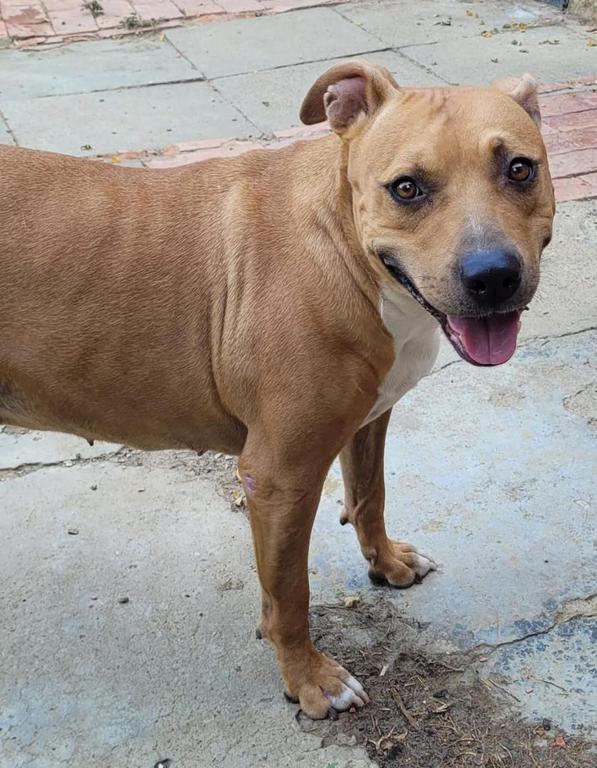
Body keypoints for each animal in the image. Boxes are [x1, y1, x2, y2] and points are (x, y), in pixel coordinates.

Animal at [0, 60, 555, 719]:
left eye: (519, 168)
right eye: (407, 188)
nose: (492, 276)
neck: (346, 248)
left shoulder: (368, 420)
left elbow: (370, 495)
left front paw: (386, 563)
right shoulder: (280, 476)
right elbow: (289, 592)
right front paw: (309, 678)